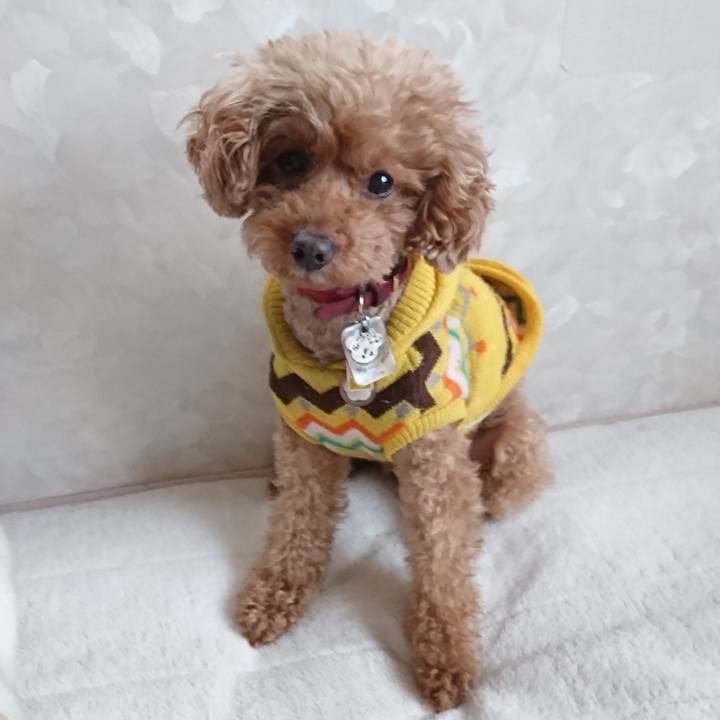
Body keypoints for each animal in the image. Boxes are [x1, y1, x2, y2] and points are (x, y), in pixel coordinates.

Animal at [184, 32, 553, 712]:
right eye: (291, 160)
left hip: (515, 451)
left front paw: (446, 658)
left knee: (496, 492)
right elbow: (297, 524)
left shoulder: (434, 459)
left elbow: (442, 557)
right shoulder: (302, 437)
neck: (344, 320)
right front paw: (272, 598)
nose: (310, 246)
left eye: (382, 182)